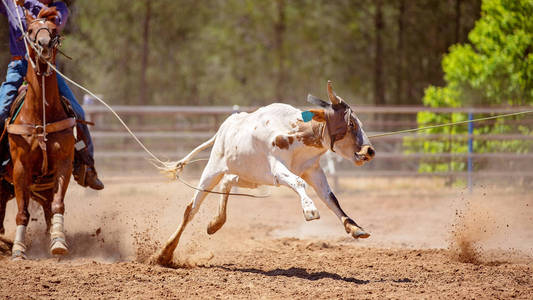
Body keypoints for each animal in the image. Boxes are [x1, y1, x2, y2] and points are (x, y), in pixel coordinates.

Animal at [0, 8, 75, 258]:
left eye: (53, 29)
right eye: (31, 29)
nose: (43, 44)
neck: (39, 115)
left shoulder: (63, 163)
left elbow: (57, 205)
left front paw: (58, 241)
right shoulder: (20, 168)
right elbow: (22, 212)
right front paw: (18, 250)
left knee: (46, 209)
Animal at [157, 81, 374, 264]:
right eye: (351, 123)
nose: (369, 151)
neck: (294, 132)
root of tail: (225, 126)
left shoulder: (313, 171)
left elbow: (330, 198)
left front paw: (355, 228)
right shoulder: (278, 169)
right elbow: (298, 183)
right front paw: (309, 209)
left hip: (249, 177)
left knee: (227, 182)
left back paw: (215, 223)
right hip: (212, 170)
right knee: (191, 209)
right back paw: (165, 253)